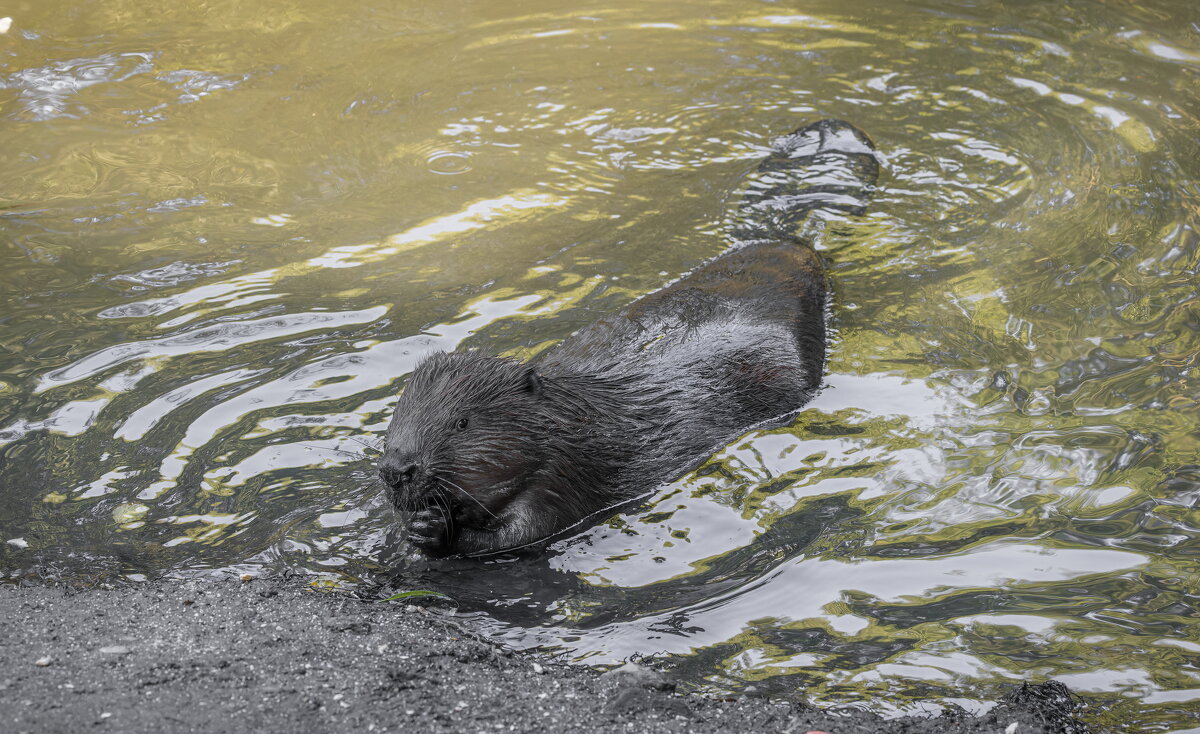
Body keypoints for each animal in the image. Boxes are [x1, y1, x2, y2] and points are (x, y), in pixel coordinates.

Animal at [379, 120, 878, 556]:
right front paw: (419, 524)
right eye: (399, 415)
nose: (395, 470)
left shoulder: (567, 469)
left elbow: (527, 530)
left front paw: (433, 532)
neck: (572, 415)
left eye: (462, 422)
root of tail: (792, 244)